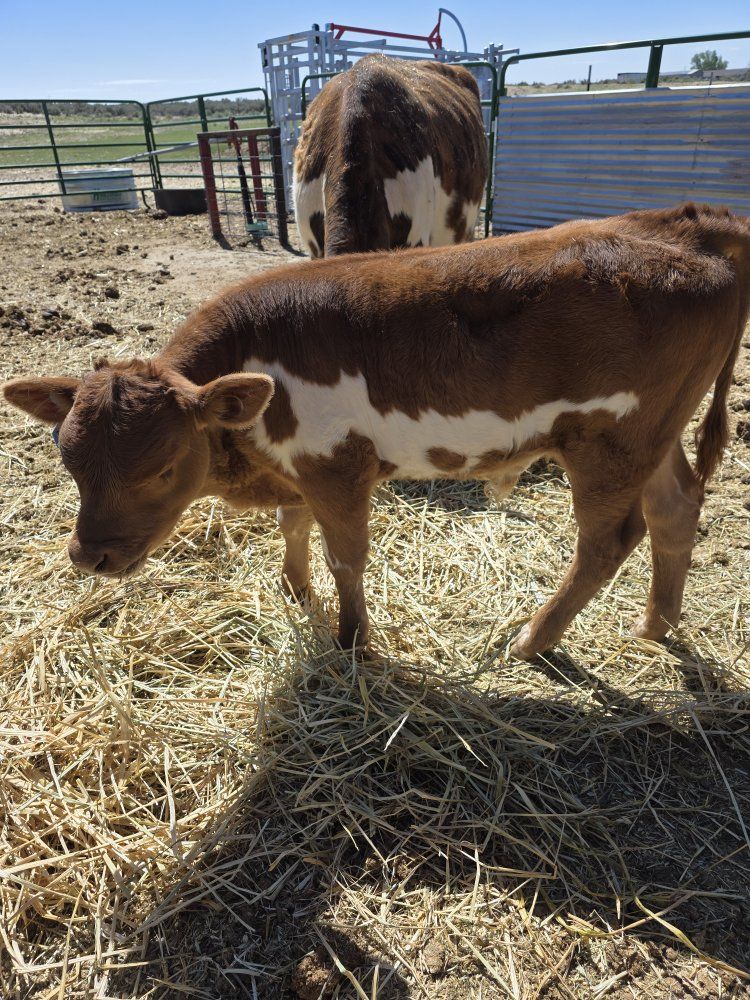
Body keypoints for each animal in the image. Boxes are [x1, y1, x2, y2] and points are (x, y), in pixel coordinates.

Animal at [4, 205, 749, 660]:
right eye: (68, 459)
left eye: (160, 469)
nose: (89, 556)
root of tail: (689, 221)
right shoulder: (300, 468)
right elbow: (294, 525)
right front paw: (295, 590)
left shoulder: (338, 466)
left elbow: (347, 557)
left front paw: (352, 639)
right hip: (654, 434)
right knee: (676, 507)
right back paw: (655, 624)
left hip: (611, 441)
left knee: (609, 541)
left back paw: (533, 640)